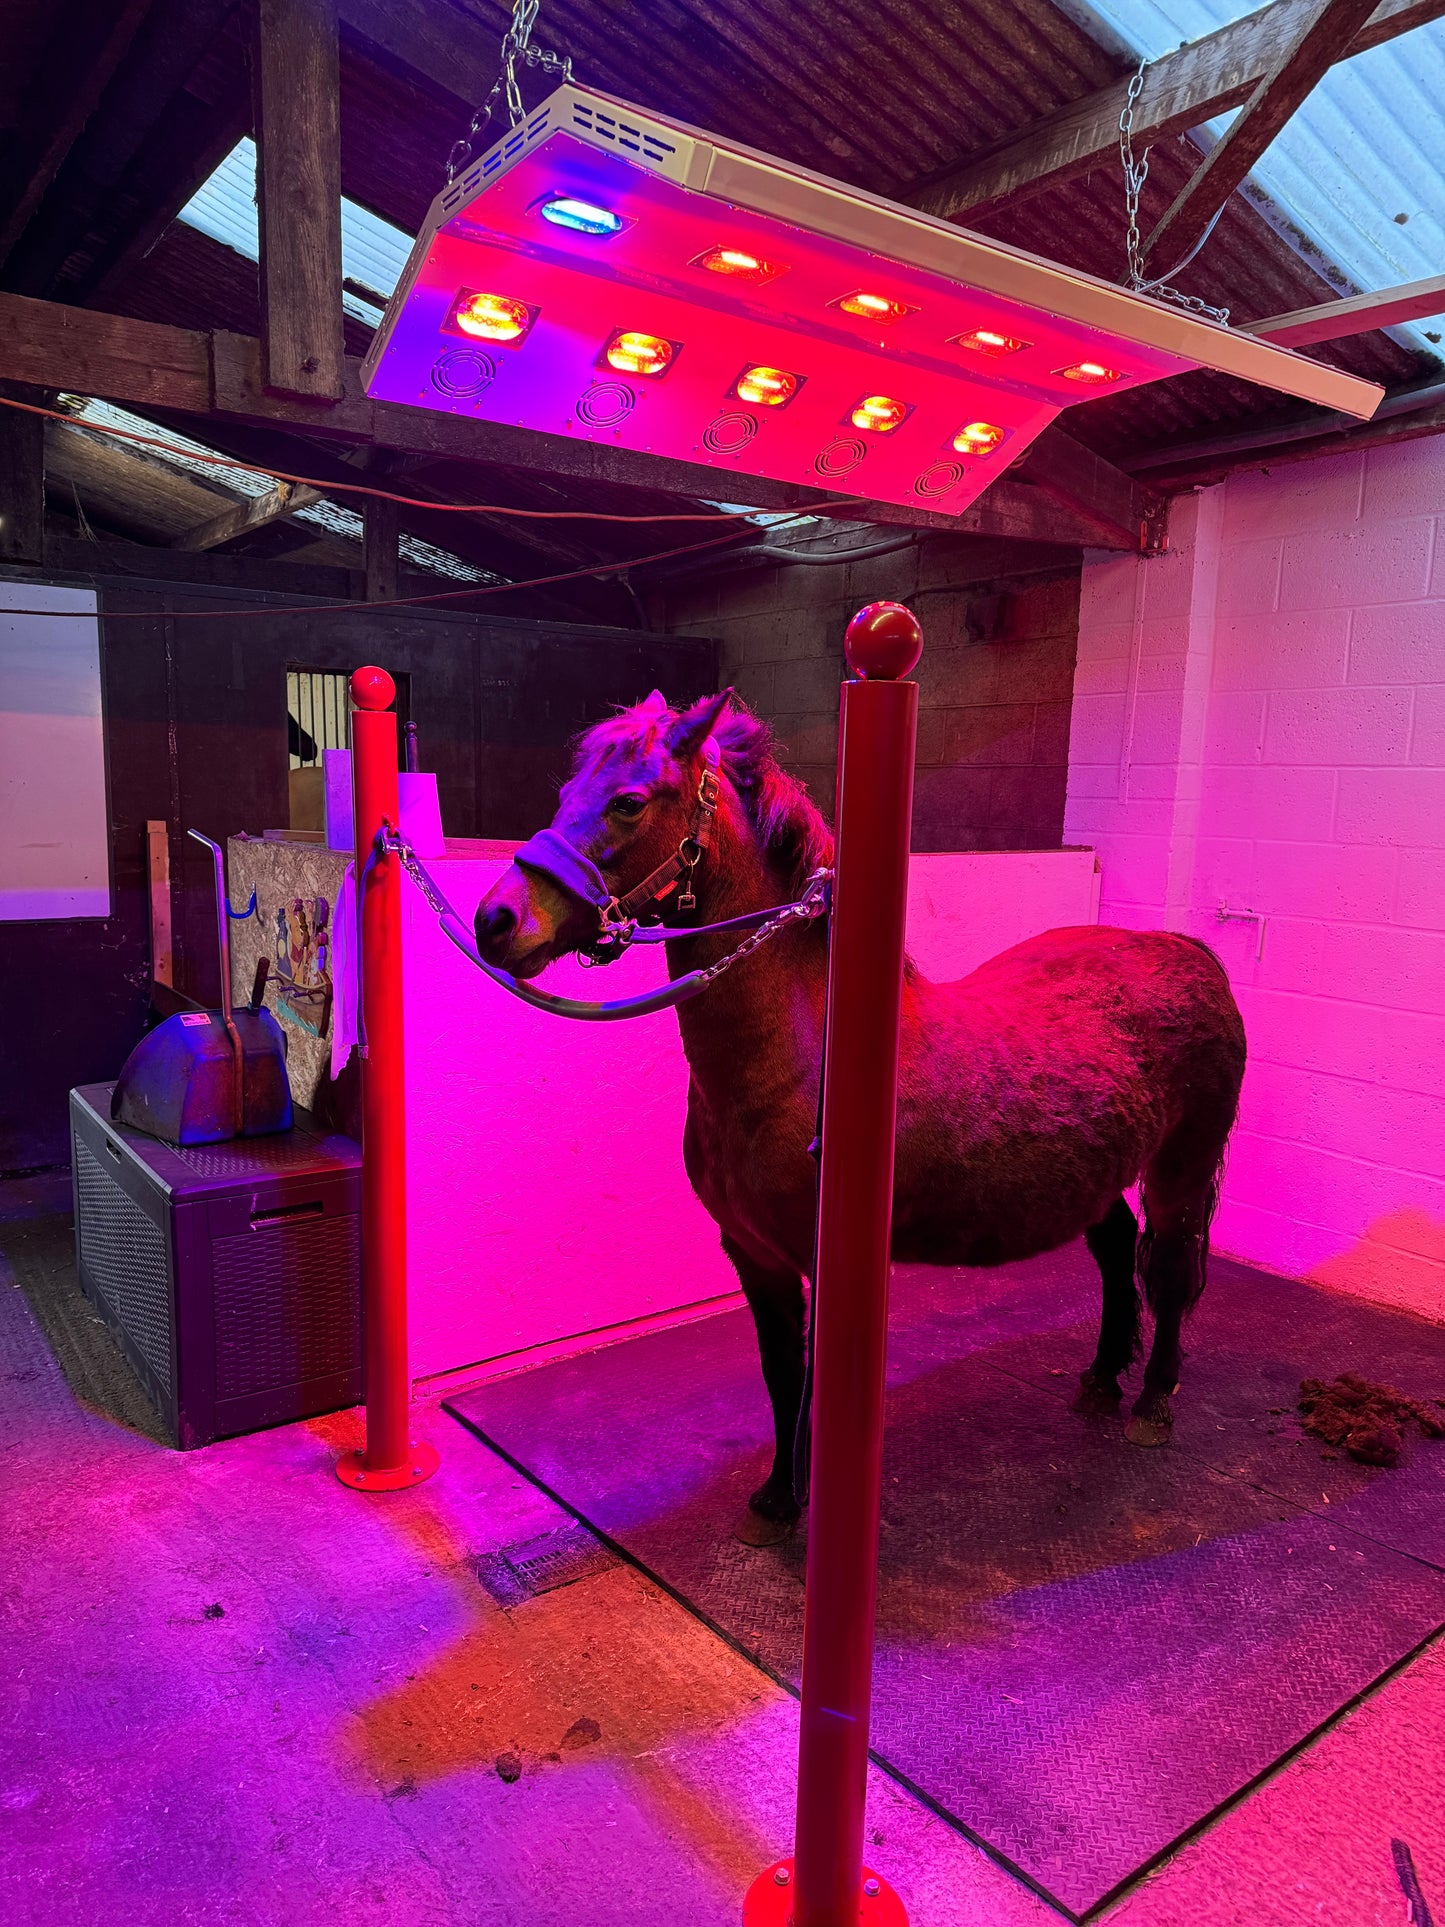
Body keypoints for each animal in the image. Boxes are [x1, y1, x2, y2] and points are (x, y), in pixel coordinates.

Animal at [473, 689, 1247, 1542]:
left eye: (628, 801)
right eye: (564, 792)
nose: (495, 921)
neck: (800, 1056)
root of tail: (1183, 950)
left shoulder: (823, 1256)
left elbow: (815, 1377)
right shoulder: (753, 1253)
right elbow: (782, 1371)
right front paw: (777, 1497)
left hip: (1180, 1167)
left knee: (1169, 1269)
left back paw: (1151, 1402)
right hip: (1091, 1173)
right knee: (1114, 1249)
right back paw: (1101, 1378)